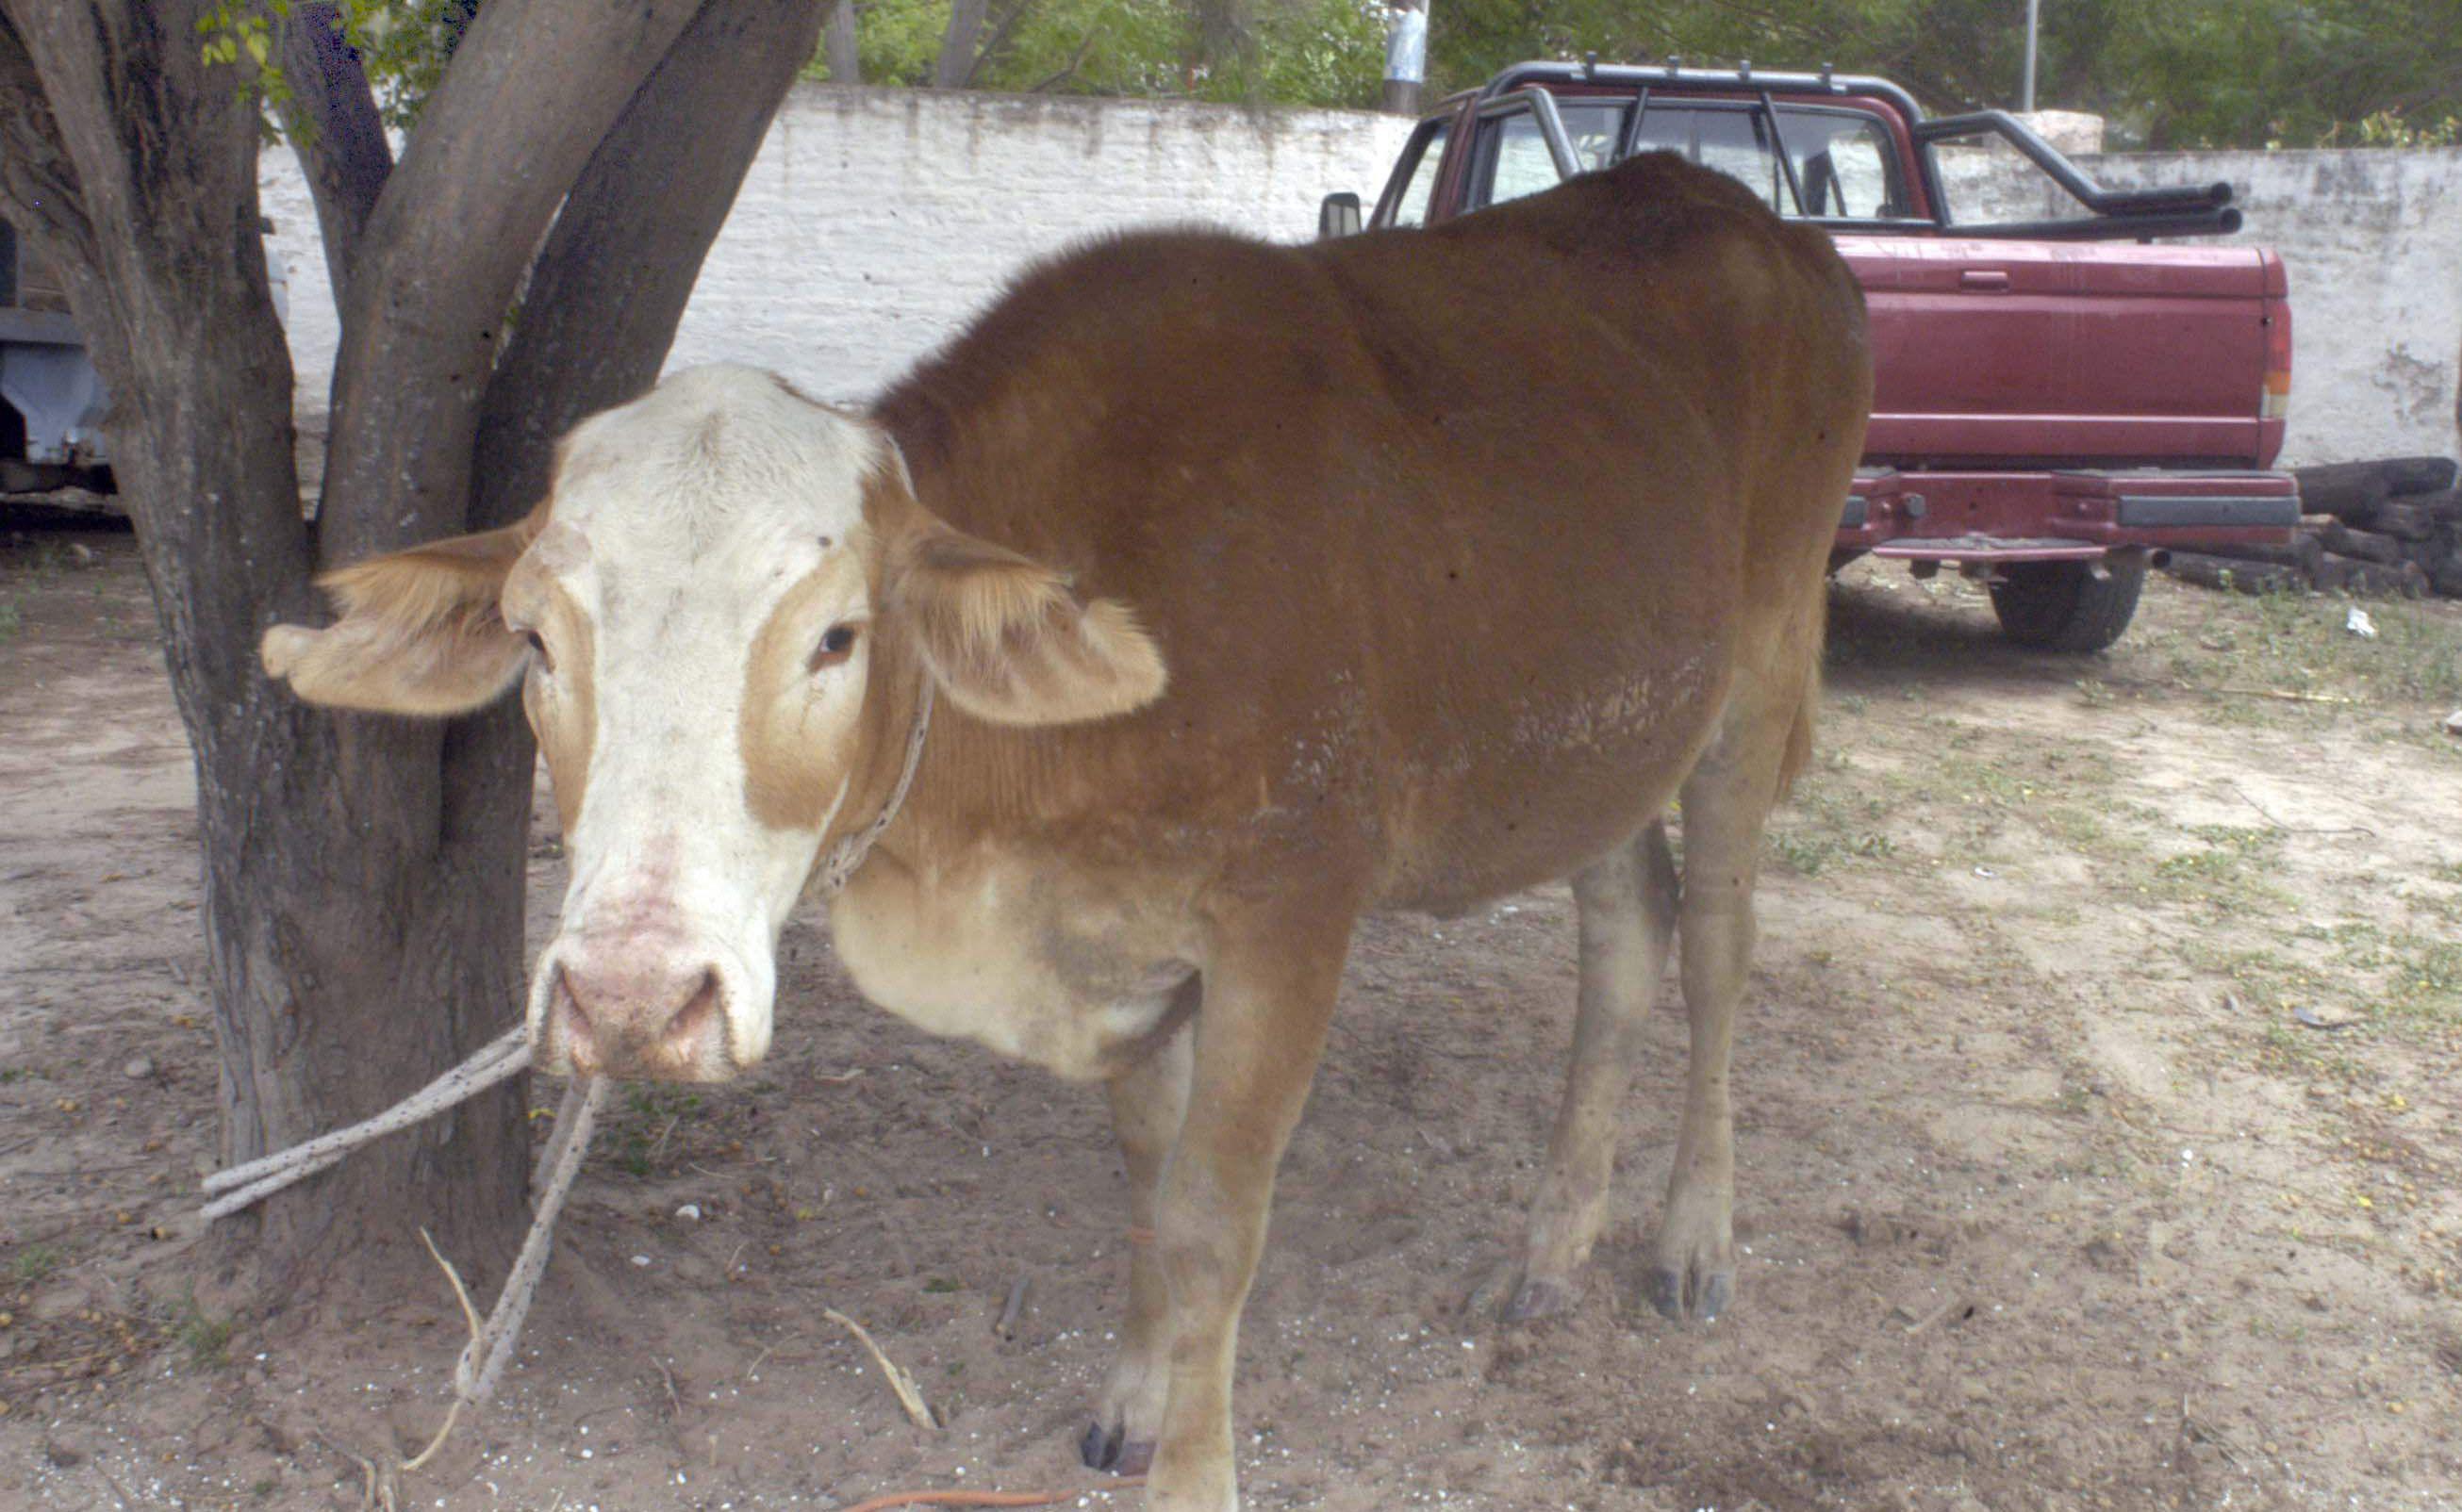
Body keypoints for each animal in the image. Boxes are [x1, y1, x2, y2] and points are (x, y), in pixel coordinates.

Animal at [259, 156, 1860, 1512]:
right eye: (534, 640)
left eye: (836, 637)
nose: (632, 1000)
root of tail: (1737, 207)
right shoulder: (1124, 948)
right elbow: (1150, 1189)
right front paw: (1136, 1404)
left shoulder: (1288, 916)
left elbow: (1214, 1219)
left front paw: (1196, 1475)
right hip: (1597, 745)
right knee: (1623, 939)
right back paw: (1550, 1246)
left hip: (1757, 675)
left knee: (1714, 950)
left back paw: (1690, 1240)